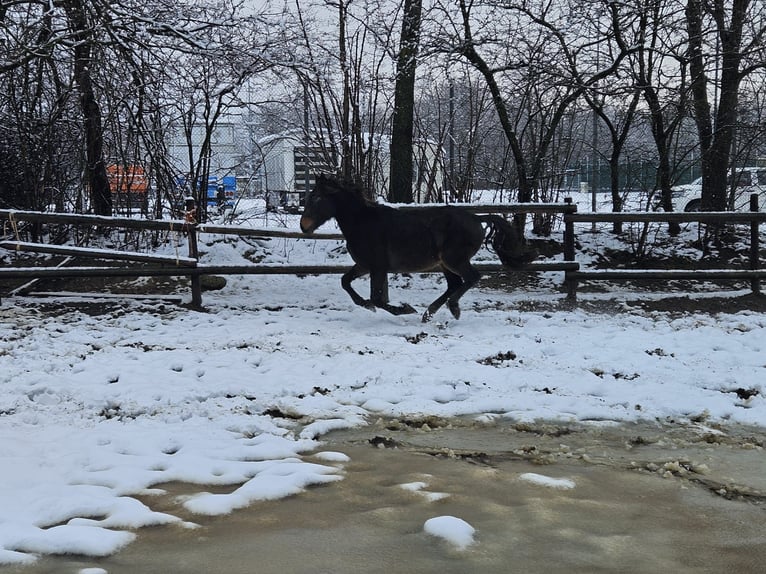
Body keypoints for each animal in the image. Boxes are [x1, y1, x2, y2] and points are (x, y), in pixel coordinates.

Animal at [296, 173, 536, 322]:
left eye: (316, 197)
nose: (303, 226)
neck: (364, 223)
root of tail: (477, 218)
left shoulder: (377, 267)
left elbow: (377, 298)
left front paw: (405, 309)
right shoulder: (364, 265)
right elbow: (346, 282)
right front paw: (368, 305)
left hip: (455, 259)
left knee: (471, 278)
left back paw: (452, 308)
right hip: (445, 264)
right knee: (454, 284)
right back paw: (429, 313)